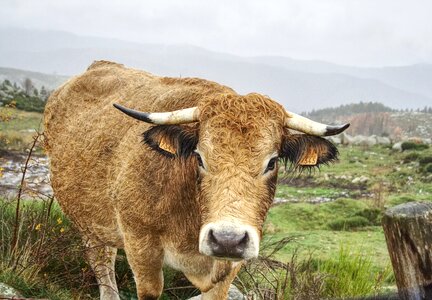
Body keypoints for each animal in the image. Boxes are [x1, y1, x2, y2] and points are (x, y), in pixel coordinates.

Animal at [43, 61, 348, 300]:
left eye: (272, 162)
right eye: (199, 157)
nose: (227, 239)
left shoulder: (228, 268)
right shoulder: (140, 246)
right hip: (89, 221)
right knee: (102, 263)